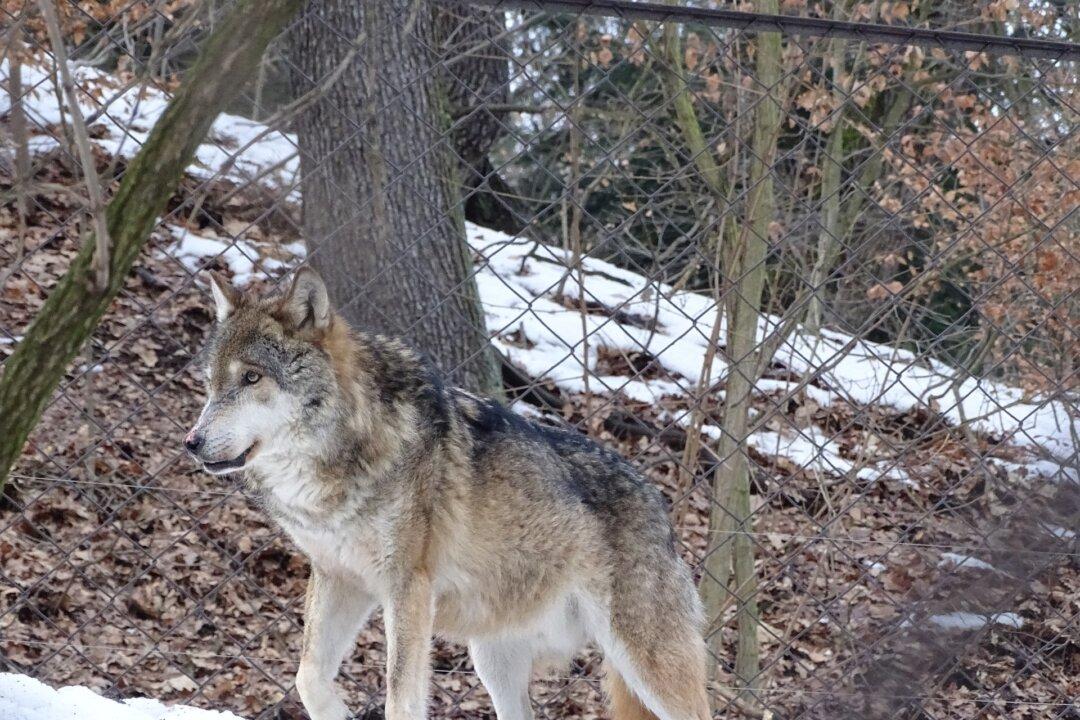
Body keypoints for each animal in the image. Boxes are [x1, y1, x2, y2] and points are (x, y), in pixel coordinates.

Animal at [185, 268, 710, 720]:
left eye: (252, 378)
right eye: (210, 384)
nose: (192, 442)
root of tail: (660, 505)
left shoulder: (408, 587)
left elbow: (401, 698)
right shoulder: (340, 577)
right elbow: (308, 676)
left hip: (645, 665)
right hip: (493, 659)